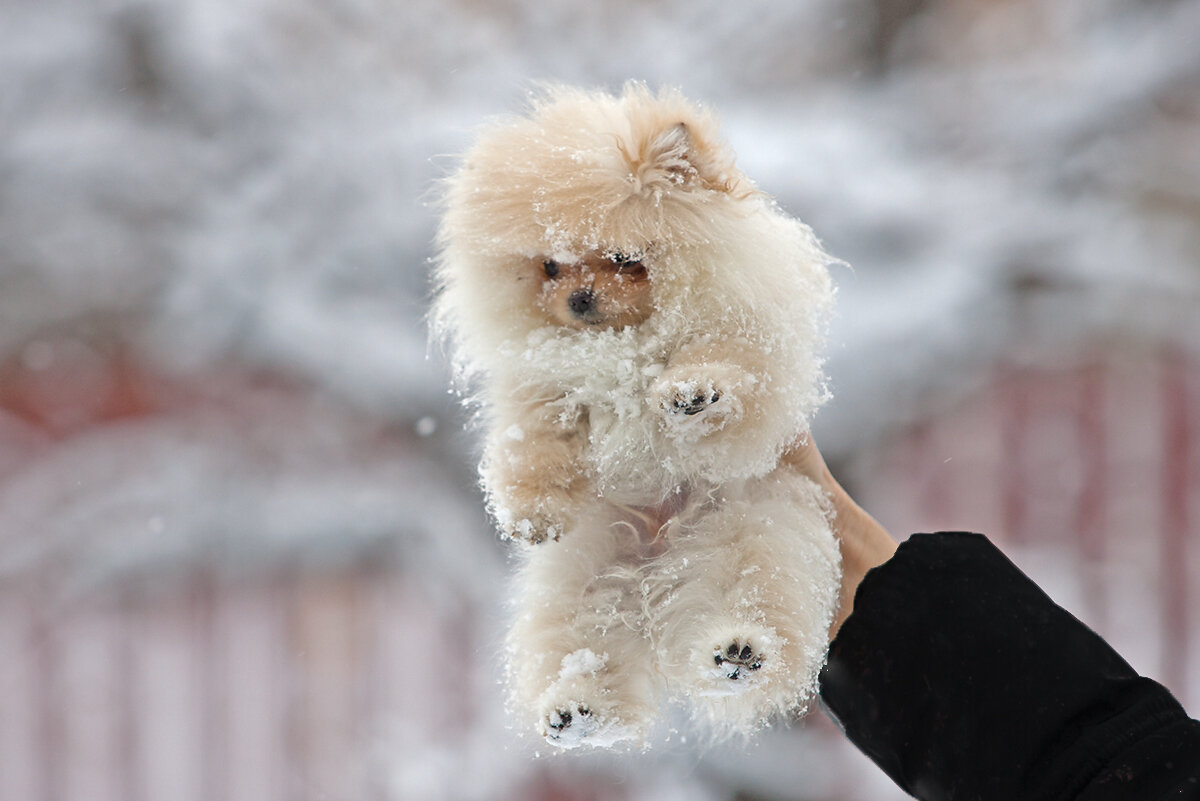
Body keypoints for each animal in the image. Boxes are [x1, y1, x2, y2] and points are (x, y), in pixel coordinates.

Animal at [436, 84, 840, 748]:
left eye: (625, 258)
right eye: (550, 266)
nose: (578, 299)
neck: (625, 344)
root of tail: (659, 559)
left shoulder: (751, 354)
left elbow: (725, 370)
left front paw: (691, 392)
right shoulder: (545, 397)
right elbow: (535, 448)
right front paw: (532, 513)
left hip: (750, 530)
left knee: (749, 599)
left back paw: (737, 653)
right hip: (589, 572)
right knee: (584, 640)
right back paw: (576, 710)